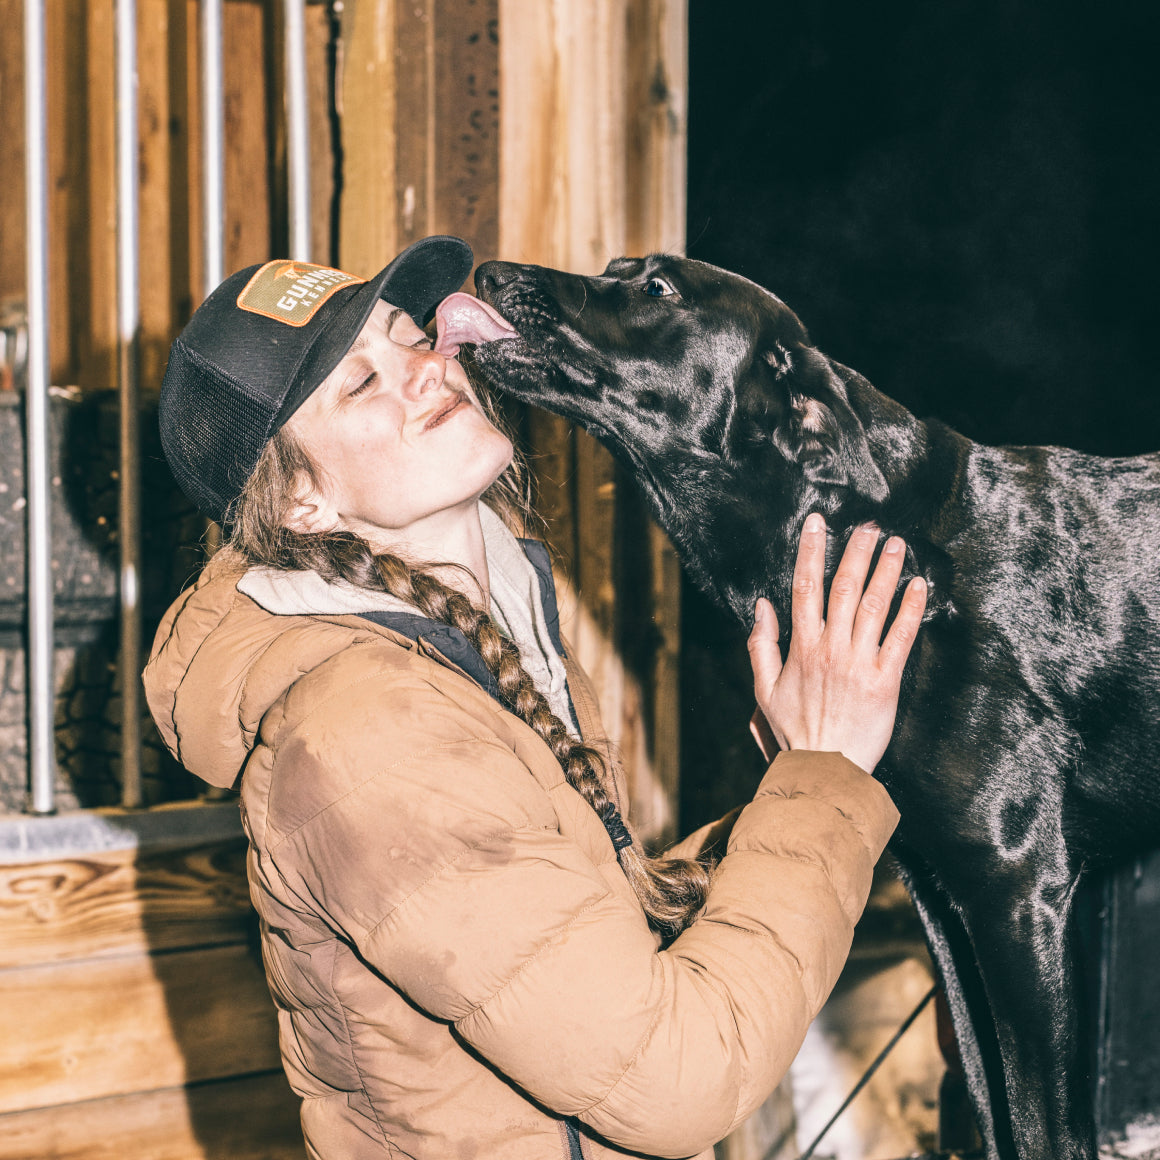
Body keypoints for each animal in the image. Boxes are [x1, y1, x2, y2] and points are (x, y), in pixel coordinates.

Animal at [447, 256, 1160, 1160]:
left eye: (658, 290)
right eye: (615, 271)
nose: (488, 269)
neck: (847, 527)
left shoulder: (1016, 887)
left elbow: (1039, 1126)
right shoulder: (944, 898)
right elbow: (990, 1106)